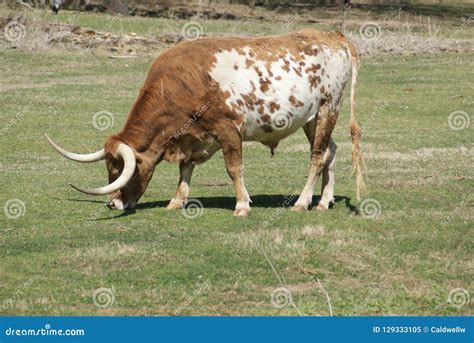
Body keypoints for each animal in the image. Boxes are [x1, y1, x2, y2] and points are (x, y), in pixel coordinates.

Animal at [46, 28, 364, 218]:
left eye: (121, 169)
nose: (113, 202)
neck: (181, 84)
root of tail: (333, 35)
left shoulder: (228, 129)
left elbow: (233, 169)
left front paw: (241, 205)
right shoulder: (192, 136)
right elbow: (185, 168)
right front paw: (177, 200)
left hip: (328, 108)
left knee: (317, 156)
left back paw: (302, 202)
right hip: (313, 119)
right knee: (330, 151)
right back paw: (324, 201)